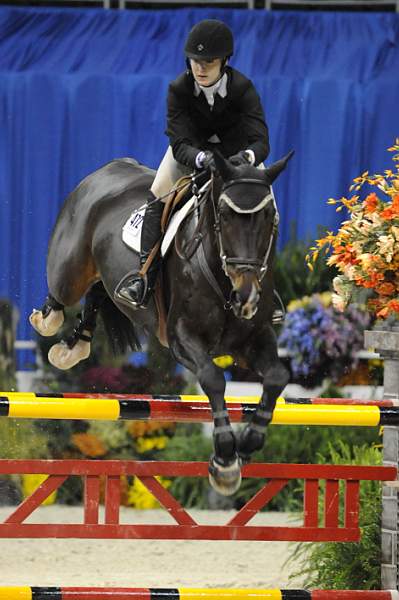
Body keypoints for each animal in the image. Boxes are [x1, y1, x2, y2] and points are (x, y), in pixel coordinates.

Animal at [29, 151, 294, 496]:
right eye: (224, 214)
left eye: (269, 216)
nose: (246, 294)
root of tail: (109, 168)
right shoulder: (182, 338)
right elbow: (213, 378)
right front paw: (225, 460)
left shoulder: (255, 339)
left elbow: (276, 376)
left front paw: (249, 442)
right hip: (70, 270)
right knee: (62, 293)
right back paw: (51, 326)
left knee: (99, 291)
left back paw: (76, 343)